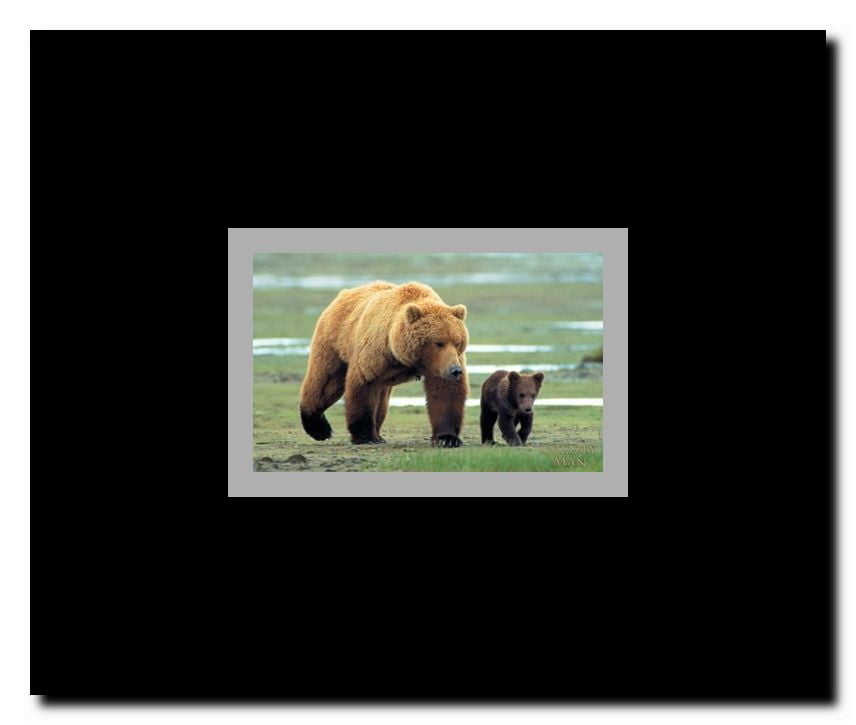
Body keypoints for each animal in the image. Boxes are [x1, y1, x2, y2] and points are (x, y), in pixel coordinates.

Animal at [299, 281, 469, 447]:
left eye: (457, 342)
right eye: (438, 342)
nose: (455, 370)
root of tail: (345, 293)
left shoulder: (439, 365)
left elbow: (445, 392)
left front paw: (447, 438)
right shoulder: (376, 354)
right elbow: (363, 387)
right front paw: (364, 436)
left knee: (381, 401)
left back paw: (378, 435)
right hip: (334, 342)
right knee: (326, 382)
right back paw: (319, 428)